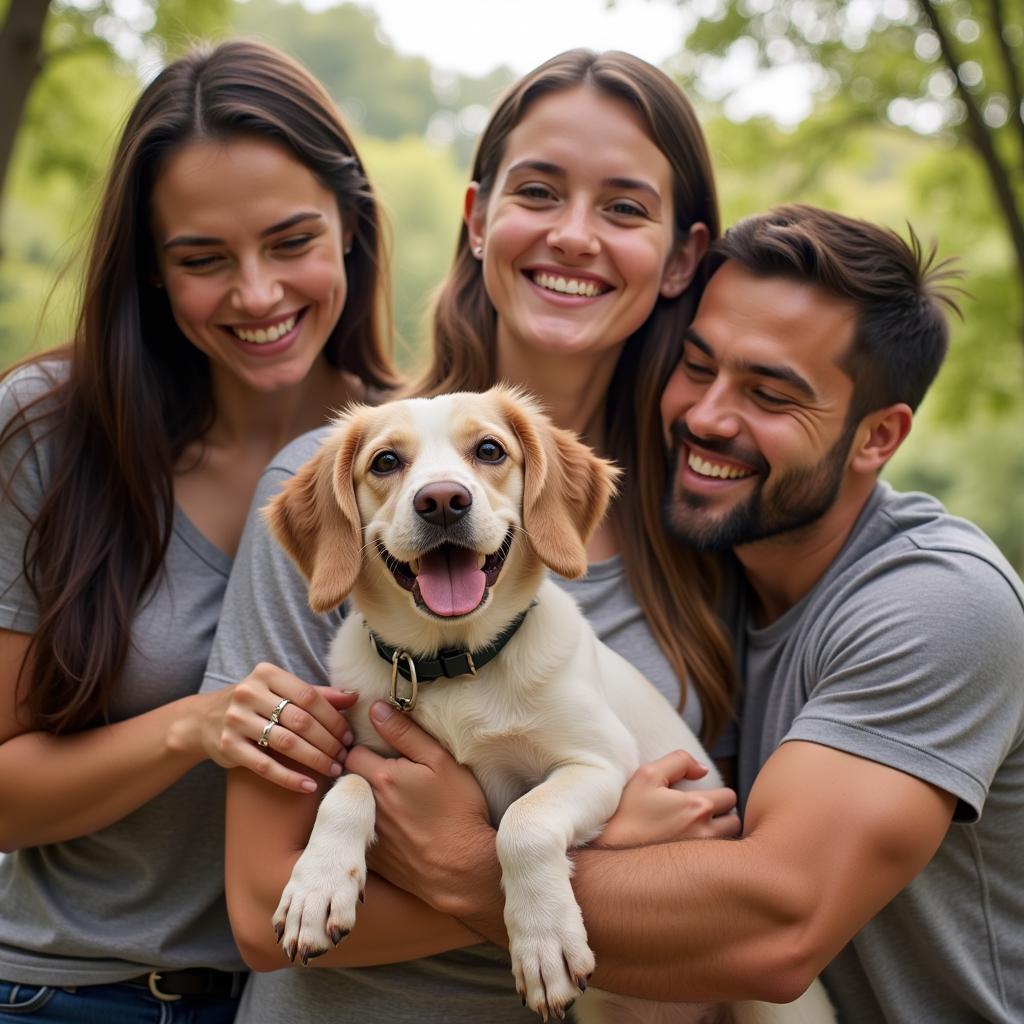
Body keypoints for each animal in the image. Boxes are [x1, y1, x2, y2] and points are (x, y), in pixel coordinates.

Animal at [262, 385, 831, 1024]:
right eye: (385, 461)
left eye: (489, 449)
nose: (442, 501)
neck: (455, 665)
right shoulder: (368, 752)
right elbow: (346, 790)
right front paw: (316, 887)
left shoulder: (600, 762)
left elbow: (523, 821)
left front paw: (543, 942)